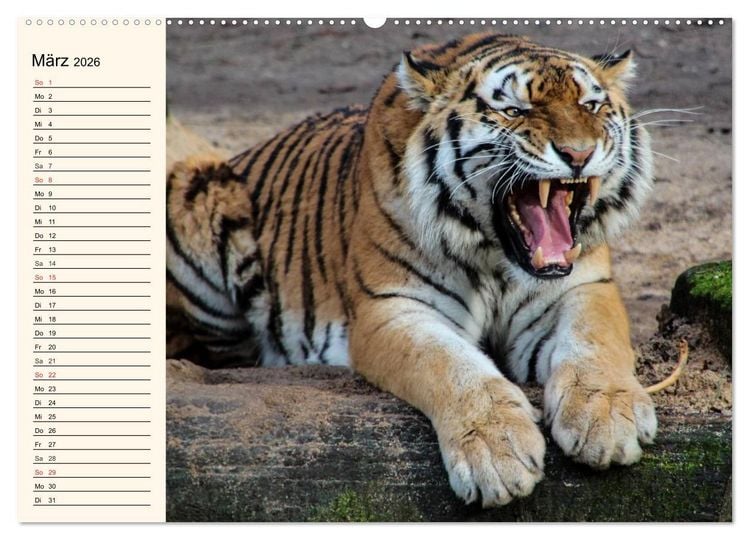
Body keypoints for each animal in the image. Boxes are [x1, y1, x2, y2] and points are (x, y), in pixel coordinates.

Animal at [166, 32, 657, 507]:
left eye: (589, 105)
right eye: (514, 111)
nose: (579, 154)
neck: (497, 258)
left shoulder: (584, 287)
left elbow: (595, 340)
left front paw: (607, 418)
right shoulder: (393, 307)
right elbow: (451, 365)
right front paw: (496, 453)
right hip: (198, 188)